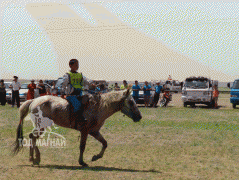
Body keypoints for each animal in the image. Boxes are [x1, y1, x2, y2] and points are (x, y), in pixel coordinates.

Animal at [12, 88, 142, 166]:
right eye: (131, 102)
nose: (139, 116)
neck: (98, 107)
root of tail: (34, 100)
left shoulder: (94, 131)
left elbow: (105, 143)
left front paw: (96, 157)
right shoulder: (85, 131)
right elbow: (82, 146)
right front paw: (82, 162)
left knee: (32, 137)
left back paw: (34, 158)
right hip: (41, 126)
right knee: (32, 137)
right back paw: (34, 158)